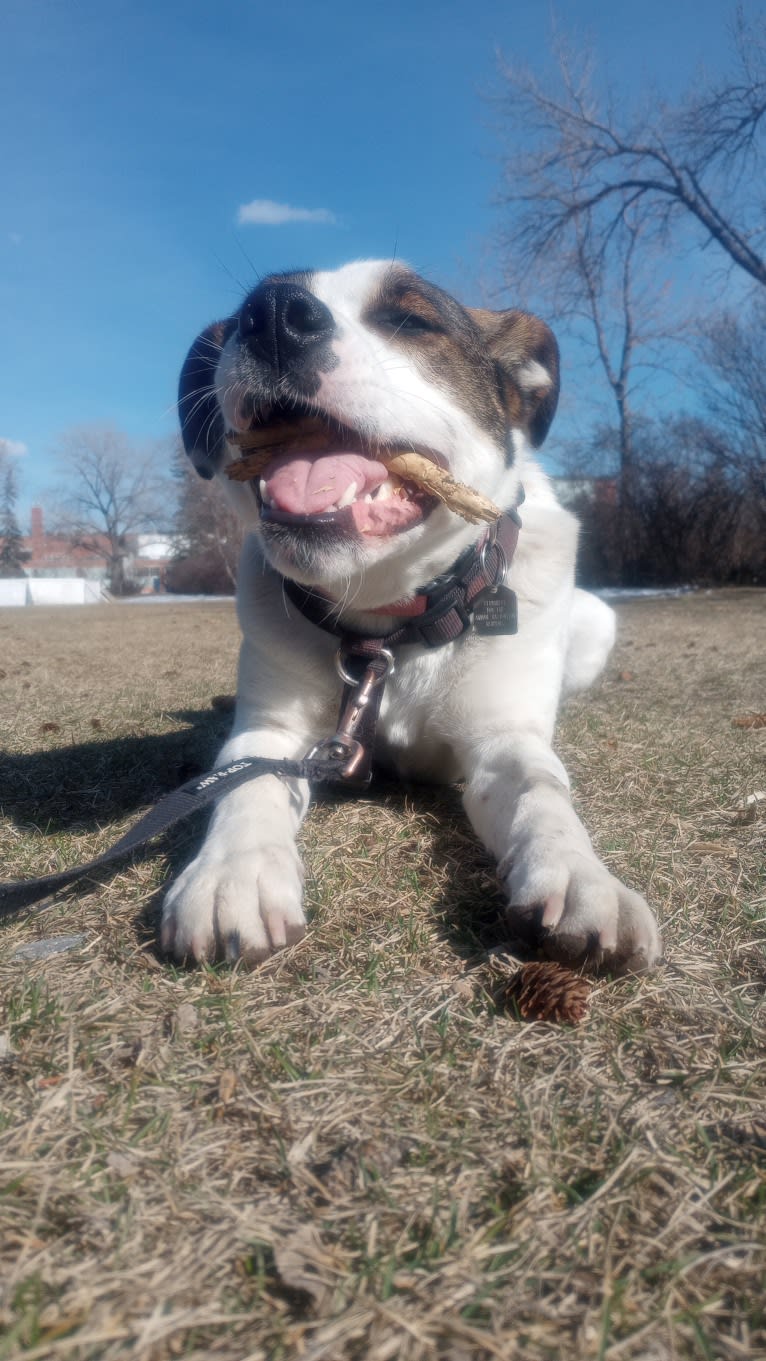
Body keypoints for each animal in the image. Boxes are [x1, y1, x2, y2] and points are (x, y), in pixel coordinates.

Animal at [163, 259, 666, 974]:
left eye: (409, 319)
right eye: (237, 323)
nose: (275, 314)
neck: (390, 625)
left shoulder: (503, 740)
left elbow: (541, 792)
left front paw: (581, 878)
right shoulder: (270, 732)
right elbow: (245, 786)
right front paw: (232, 875)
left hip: (597, 623)